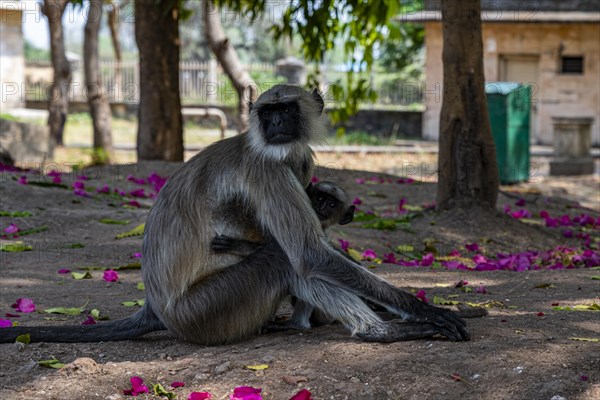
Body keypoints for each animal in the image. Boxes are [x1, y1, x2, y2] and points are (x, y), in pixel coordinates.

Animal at [0, 86, 468, 346]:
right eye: (266, 112)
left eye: (286, 110)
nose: (276, 124)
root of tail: (156, 307)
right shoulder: (268, 168)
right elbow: (308, 254)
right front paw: (423, 310)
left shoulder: (299, 160)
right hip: (206, 311)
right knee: (286, 261)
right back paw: (377, 332)